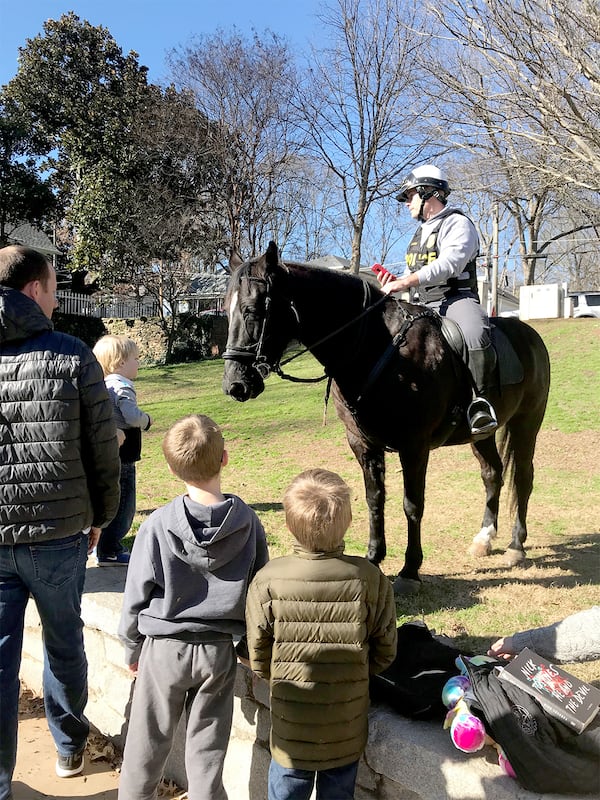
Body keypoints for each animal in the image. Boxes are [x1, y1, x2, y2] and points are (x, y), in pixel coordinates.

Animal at [223, 241, 552, 592]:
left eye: (252, 309)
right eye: (226, 309)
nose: (234, 384)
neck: (376, 348)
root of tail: (530, 335)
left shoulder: (414, 447)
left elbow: (412, 504)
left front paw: (410, 570)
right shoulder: (363, 445)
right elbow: (374, 498)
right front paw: (374, 557)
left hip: (526, 424)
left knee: (523, 477)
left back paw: (516, 546)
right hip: (481, 434)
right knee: (492, 475)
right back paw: (484, 538)